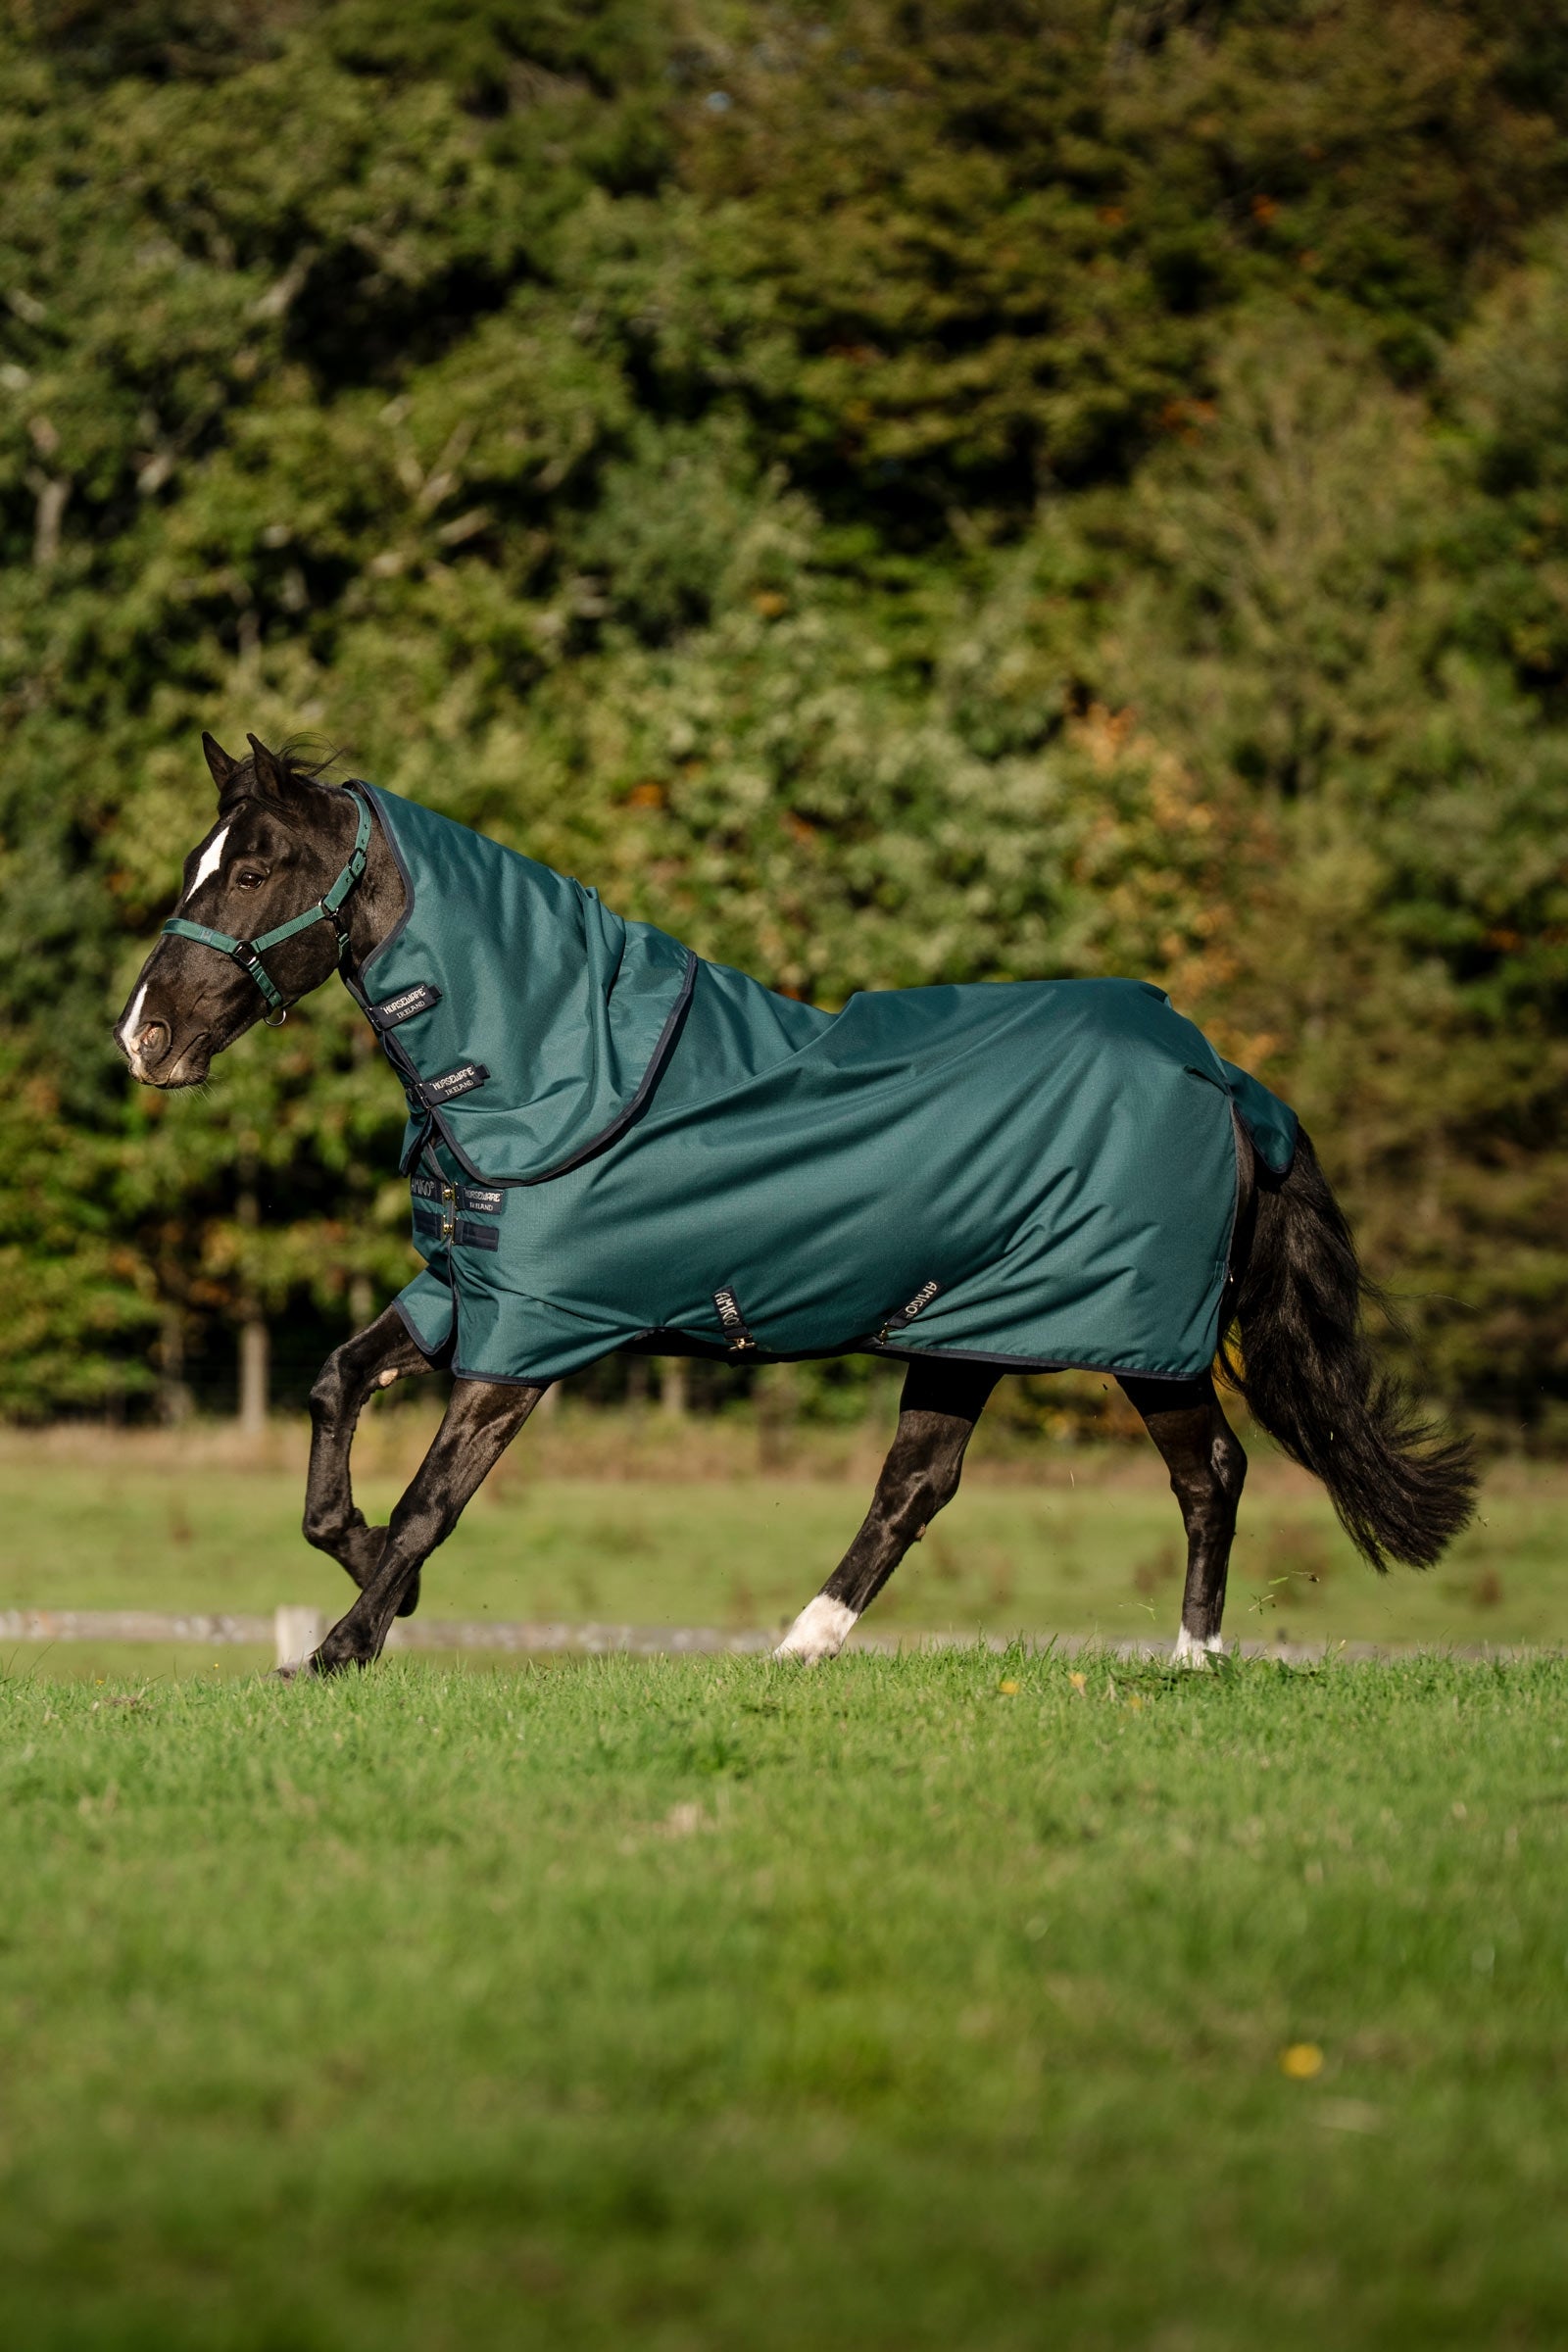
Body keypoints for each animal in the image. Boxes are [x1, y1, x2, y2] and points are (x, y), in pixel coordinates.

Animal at [114, 733, 1476, 1676]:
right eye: (201, 864)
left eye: (254, 868)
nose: (146, 1037)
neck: (554, 1064)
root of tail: (1224, 1076)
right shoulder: (464, 1294)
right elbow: (333, 1394)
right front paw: (361, 1577)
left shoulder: (528, 1340)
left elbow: (428, 1505)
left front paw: (344, 1645)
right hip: (966, 1329)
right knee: (916, 1485)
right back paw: (800, 1648)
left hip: (1139, 1337)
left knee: (1212, 1475)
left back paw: (1193, 1660)